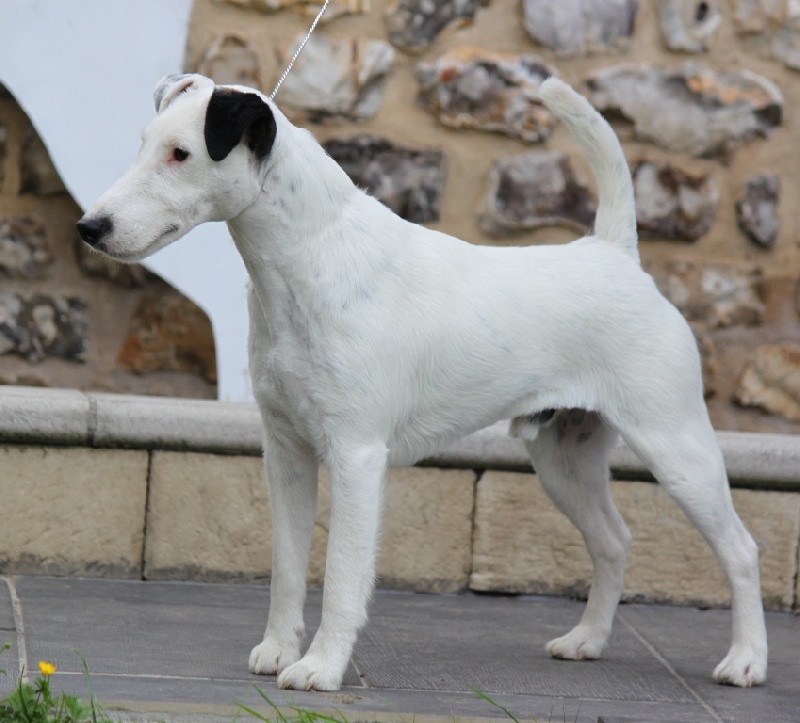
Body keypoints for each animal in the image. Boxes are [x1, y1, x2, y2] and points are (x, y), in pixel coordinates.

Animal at [78, 76, 764, 692]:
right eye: (146, 144)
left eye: (181, 153)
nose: (91, 227)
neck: (313, 258)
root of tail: (617, 256)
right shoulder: (286, 455)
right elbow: (288, 568)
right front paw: (277, 651)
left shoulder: (356, 457)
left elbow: (343, 573)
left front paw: (320, 668)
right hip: (563, 459)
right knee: (614, 543)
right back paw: (586, 641)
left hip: (677, 448)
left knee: (740, 549)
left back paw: (746, 662)